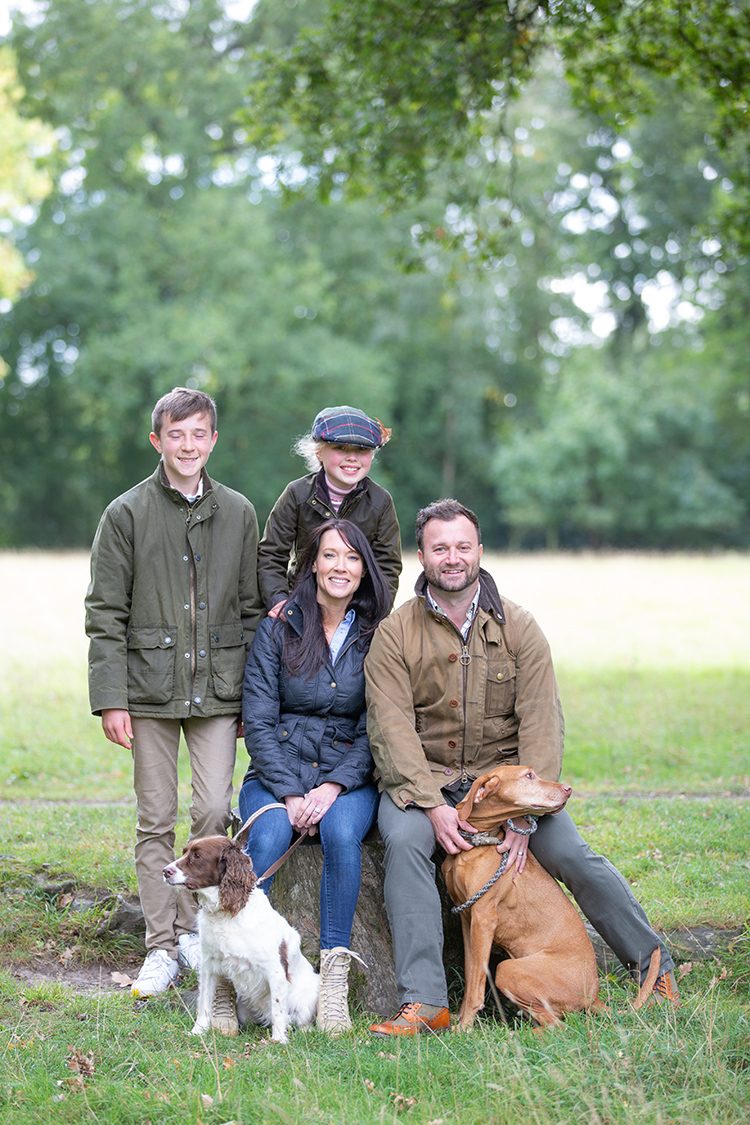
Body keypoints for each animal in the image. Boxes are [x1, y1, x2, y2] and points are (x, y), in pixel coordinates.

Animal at [443, 765, 611, 1030]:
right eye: (529, 776)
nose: (568, 789)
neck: (478, 840)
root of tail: (593, 995)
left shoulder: (483, 917)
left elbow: (477, 983)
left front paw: (465, 1026)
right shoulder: (467, 917)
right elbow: (471, 974)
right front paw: (461, 1017)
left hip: (507, 969)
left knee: (558, 1027)